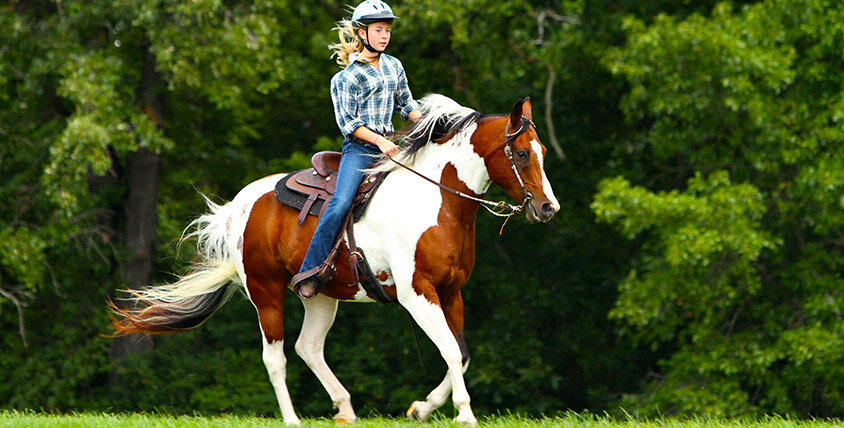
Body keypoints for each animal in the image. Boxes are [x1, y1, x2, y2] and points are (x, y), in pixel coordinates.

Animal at [110, 93, 560, 424]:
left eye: (541, 150)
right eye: (521, 154)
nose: (548, 208)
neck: (437, 201)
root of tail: (237, 208)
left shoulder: (451, 292)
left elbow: (461, 354)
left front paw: (422, 408)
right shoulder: (417, 294)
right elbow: (449, 349)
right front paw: (463, 415)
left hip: (320, 294)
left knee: (308, 346)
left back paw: (344, 408)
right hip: (265, 290)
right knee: (275, 357)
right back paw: (292, 419)